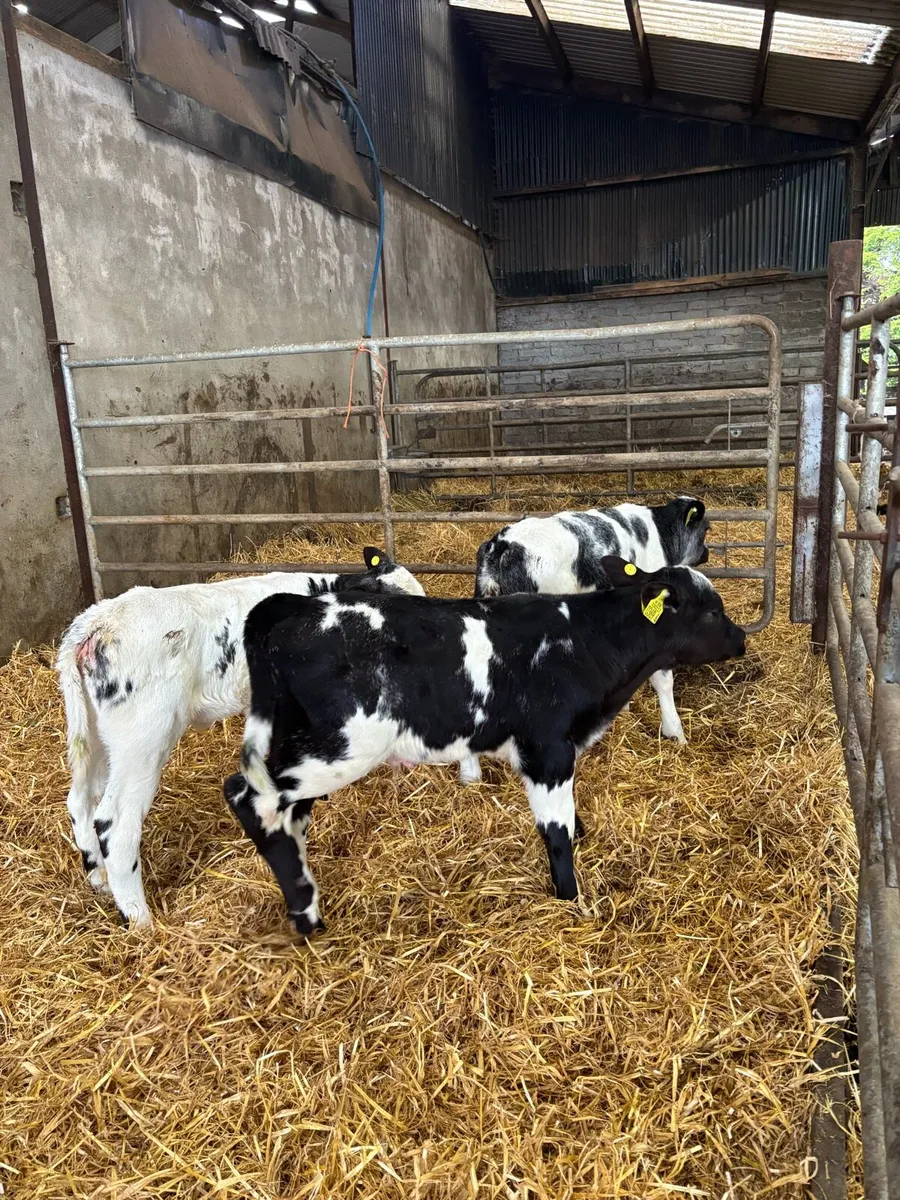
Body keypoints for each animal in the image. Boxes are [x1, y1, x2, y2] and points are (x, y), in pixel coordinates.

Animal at [57, 547, 424, 927]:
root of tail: (97, 621)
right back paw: (141, 920)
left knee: (80, 799)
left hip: (97, 734)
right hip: (143, 736)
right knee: (115, 821)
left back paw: (99, 879)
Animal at [224, 557, 746, 936]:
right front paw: (571, 900)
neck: (585, 643)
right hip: (341, 746)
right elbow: (556, 833)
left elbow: (570, 819)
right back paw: (306, 914)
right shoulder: (547, 751)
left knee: (285, 813)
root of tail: (294, 607)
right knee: (250, 796)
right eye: (712, 610)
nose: (741, 638)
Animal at [460, 497, 711, 781]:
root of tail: (501, 544)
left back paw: (471, 775)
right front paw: (675, 732)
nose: (706, 553)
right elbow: (662, 680)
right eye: (706, 529)